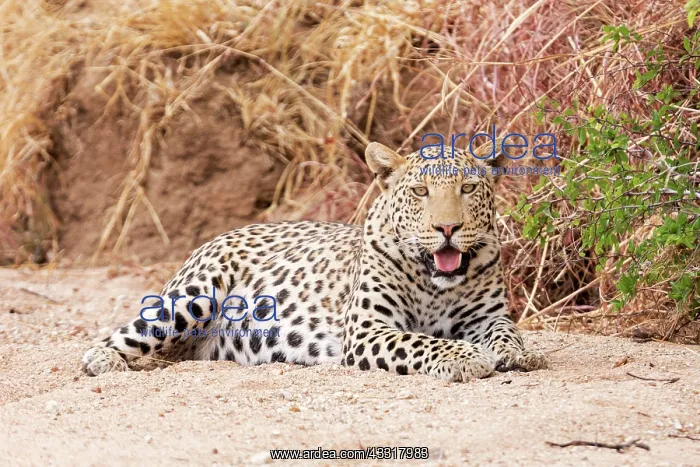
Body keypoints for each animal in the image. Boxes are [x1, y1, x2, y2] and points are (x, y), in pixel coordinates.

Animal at [82, 140, 548, 381]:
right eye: (420, 192)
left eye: (468, 188)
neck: (434, 282)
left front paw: (518, 355)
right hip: (190, 297)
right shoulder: (366, 330)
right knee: (117, 336)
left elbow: (507, 332)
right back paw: (103, 362)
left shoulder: (487, 317)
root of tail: (220, 235)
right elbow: (422, 340)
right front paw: (466, 357)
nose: (447, 227)